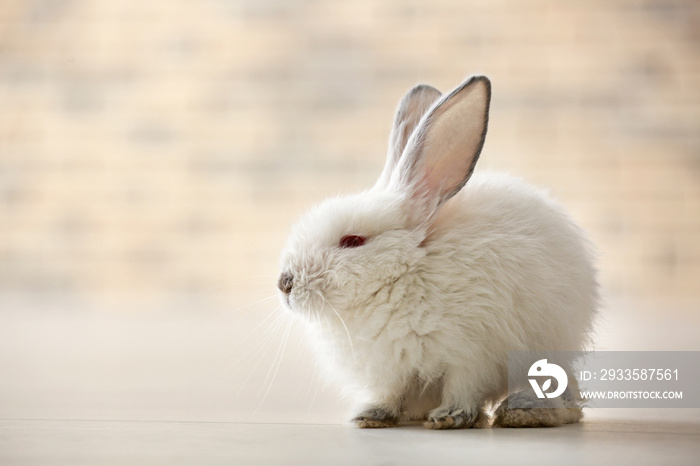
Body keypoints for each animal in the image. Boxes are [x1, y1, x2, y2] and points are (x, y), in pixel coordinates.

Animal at [276, 76, 600, 430]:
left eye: (352, 241)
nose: (285, 283)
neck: (405, 274)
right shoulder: (390, 371)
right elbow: (389, 394)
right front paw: (370, 415)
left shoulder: (472, 355)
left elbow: (463, 387)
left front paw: (450, 416)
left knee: (564, 394)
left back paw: (523, 411)